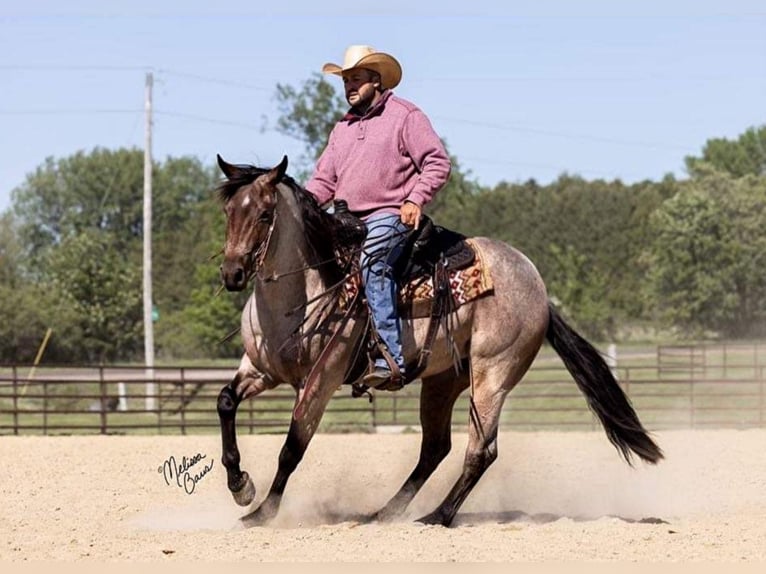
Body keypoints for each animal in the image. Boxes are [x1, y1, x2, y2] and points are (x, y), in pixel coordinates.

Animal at [216, 155, 664, 528]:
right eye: (229, 211)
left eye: (265, 213)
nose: (233, 273)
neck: (305, 292)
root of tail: (538, 288)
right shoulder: (259, 369)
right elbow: (225, 402)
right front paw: (240, 486)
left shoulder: (322, 379)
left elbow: (293, 446)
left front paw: (262, 513)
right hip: (443, 379)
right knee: (434, 448)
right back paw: (385, 513)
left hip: (492, 375)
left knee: (481, 450)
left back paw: (437, 516)